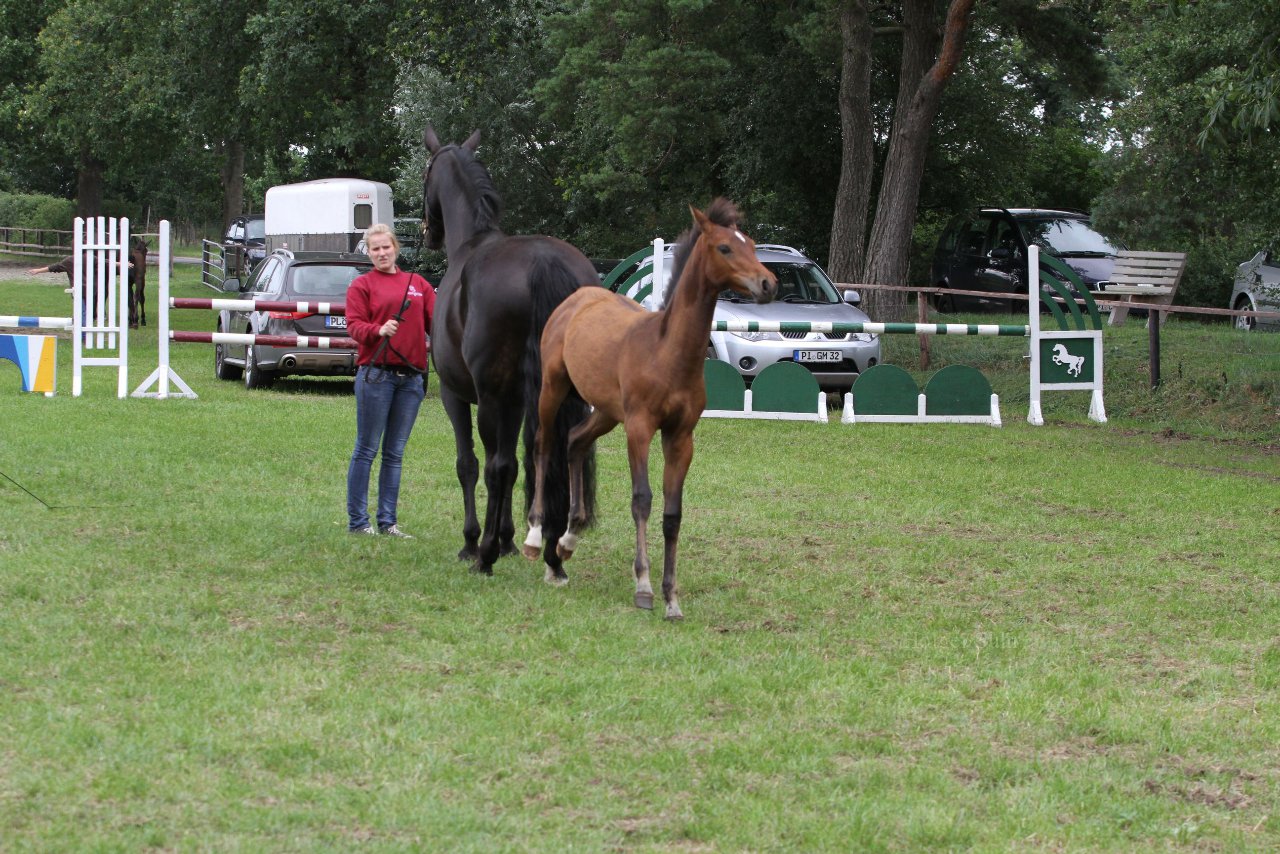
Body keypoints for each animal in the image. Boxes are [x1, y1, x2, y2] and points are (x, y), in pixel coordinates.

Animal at [422, 126, 596, 578]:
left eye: (426, 173)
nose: (428, 232)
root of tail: (543, 262)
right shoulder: (518, 401)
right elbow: (519, 464)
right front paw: (509, 540)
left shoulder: (457, 395)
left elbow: (471, 465)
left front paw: (476, 542)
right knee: (558, 452)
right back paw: (553, 552)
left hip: (487, 398)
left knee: (493, 468)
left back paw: (483, 556)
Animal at [524, 197, 773, 617]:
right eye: (725, 248)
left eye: (753, 245)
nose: (768, 283)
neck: (666, 353)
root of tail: (576, 299)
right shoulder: (639, 428)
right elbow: (642, 500)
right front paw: (643, 586)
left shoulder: (681, 437)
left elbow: (672, 514)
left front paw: (672, 598)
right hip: (554, 388)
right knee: (544, 445)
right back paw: (536, 534)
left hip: (606, 412)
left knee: (574, 441)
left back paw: (568, 540)